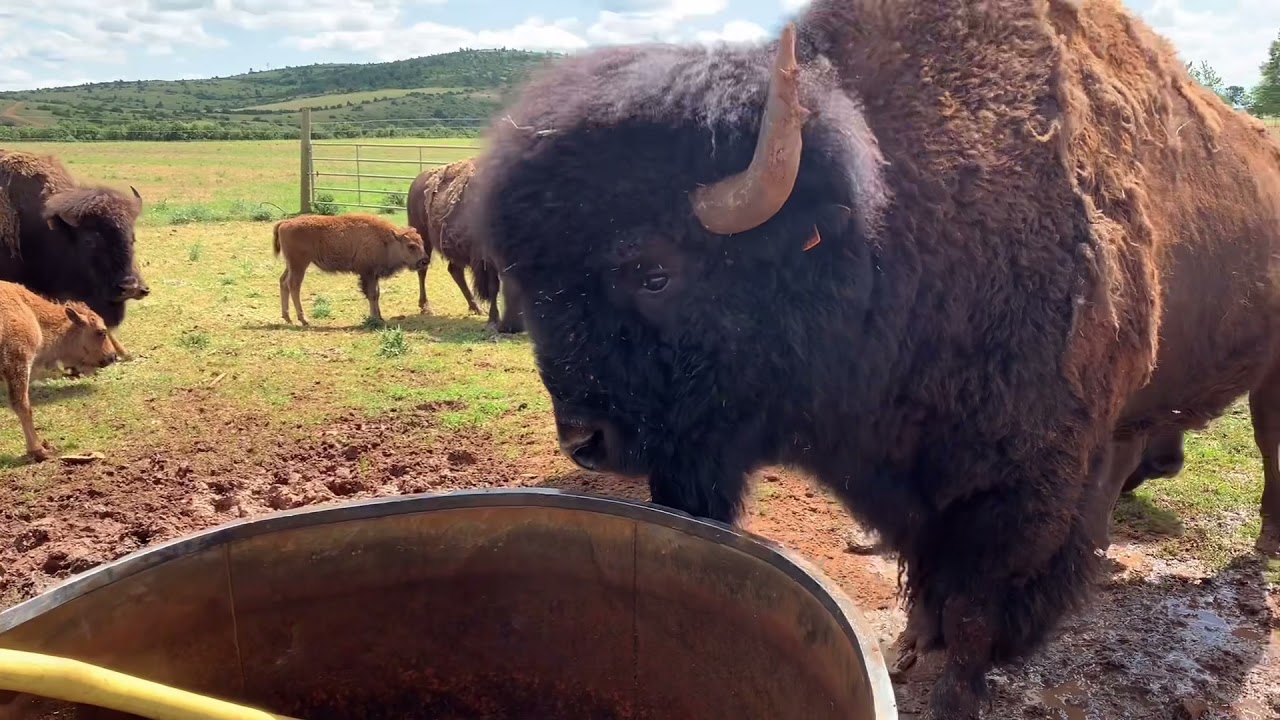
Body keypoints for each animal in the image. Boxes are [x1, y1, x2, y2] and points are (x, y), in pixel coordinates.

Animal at [462, 1, 1280, 718]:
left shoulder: (1020, 486)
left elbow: (975, 604)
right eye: (530, 281)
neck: (894, 232)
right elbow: (925, 575)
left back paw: (1263, 553)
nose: (584, 441)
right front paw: (914, 647)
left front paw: (957, 695)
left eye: (652, 271)